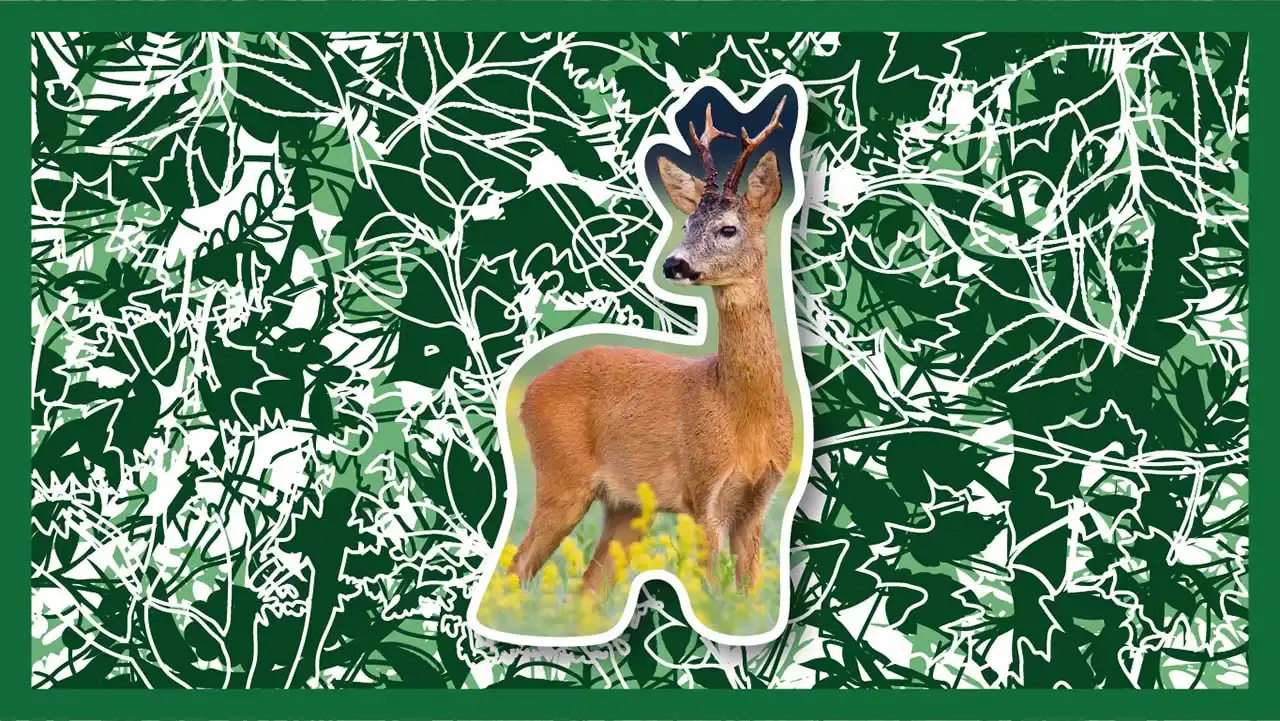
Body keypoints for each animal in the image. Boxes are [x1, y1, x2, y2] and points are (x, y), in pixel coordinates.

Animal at [507, 96, 796, 598]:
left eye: (727, 229)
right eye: (687, 222)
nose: (674, 264)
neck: (742, 413)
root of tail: (528, 393)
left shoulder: (759, 500)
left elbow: (750, 592)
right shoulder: (704, 490)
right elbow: (713, 589)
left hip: (625, 506)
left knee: (588, 584)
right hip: (562, 478)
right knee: (518, 566)